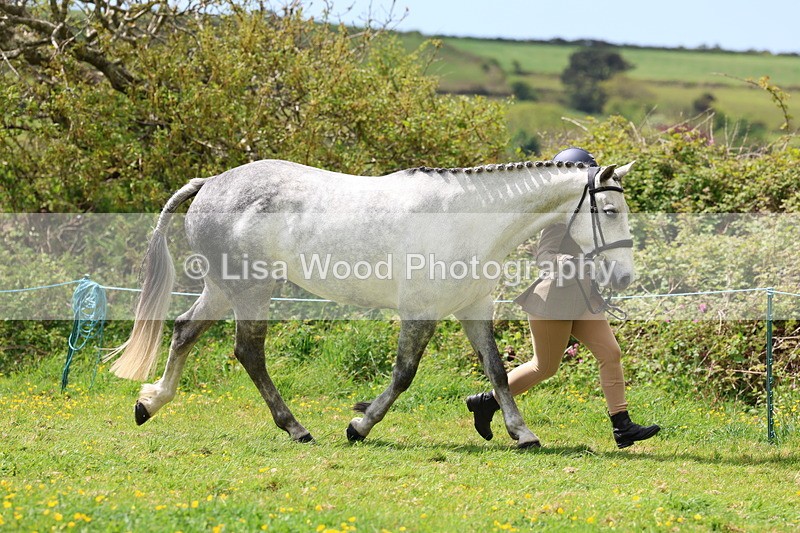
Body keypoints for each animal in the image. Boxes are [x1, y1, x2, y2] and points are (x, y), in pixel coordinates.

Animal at [107, 158, 636, 448]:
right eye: (609, 210)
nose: (624, 277)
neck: (468, 222)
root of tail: (211, 182)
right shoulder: (421, 313)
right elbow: (403, 375)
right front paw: (360, 424)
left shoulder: (472, 309)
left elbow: (497, 371)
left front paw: (521, 433)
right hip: (250, 289)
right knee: (248, 352)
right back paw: (296, 428)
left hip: (223, 287)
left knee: (184, 331)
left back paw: (150, 403)